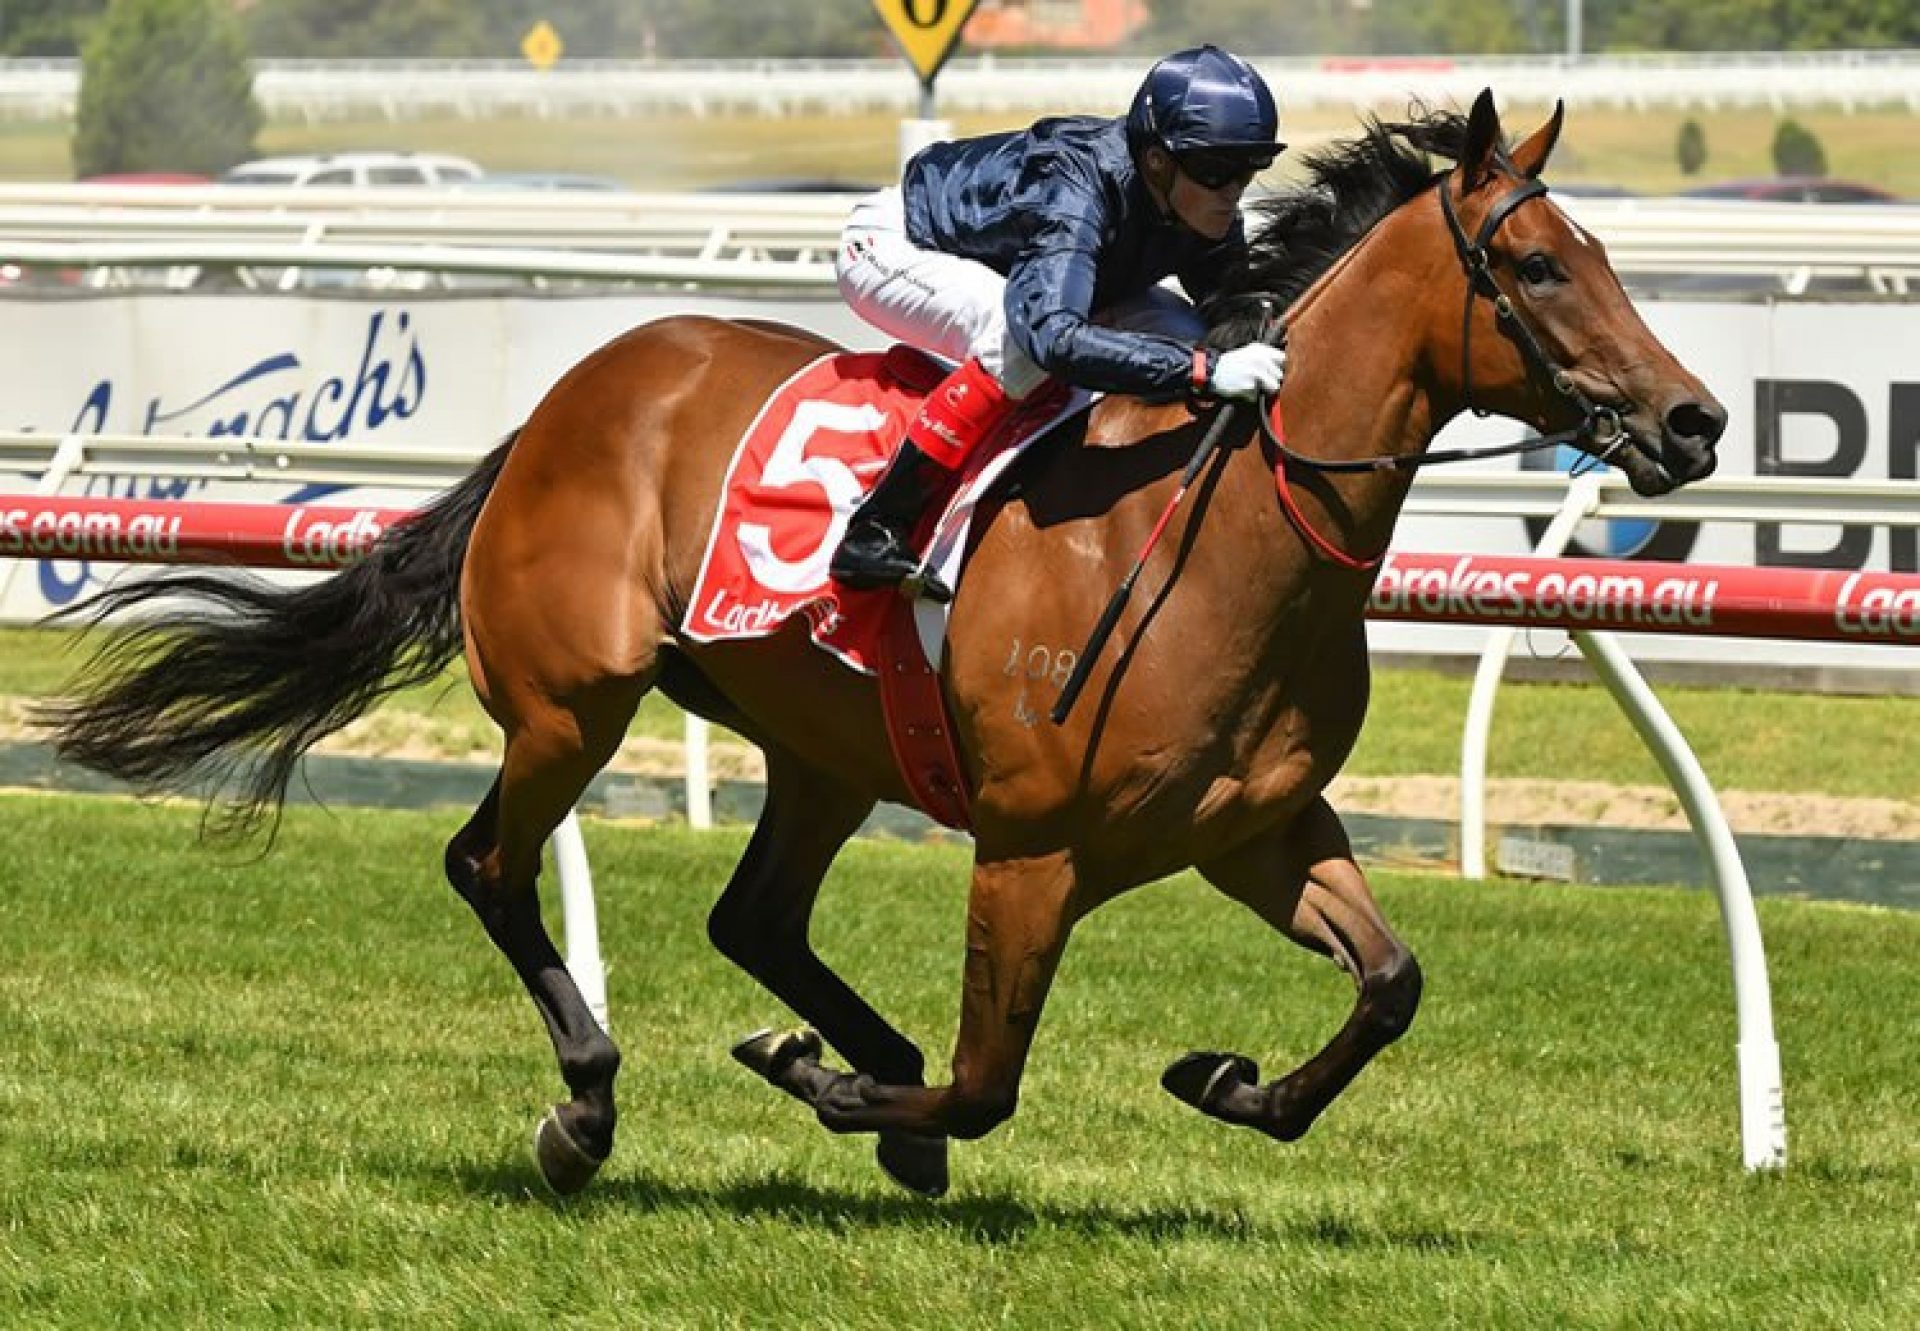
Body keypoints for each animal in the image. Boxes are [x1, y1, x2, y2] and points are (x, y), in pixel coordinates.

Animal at [41, 93, 1728, 1190]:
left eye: (1602, 253)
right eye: (1538, 265)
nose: (1694, 420)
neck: (1230, 533)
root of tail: (567, 400)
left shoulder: (1255, 826)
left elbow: (1391, 982)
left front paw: (1230, 1078)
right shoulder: (1034, 849)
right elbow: (988, 1082)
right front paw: (846, 1087)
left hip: (825, 741)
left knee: (752, 916)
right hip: (573, 701)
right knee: (490, 864)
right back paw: (587, 1109)